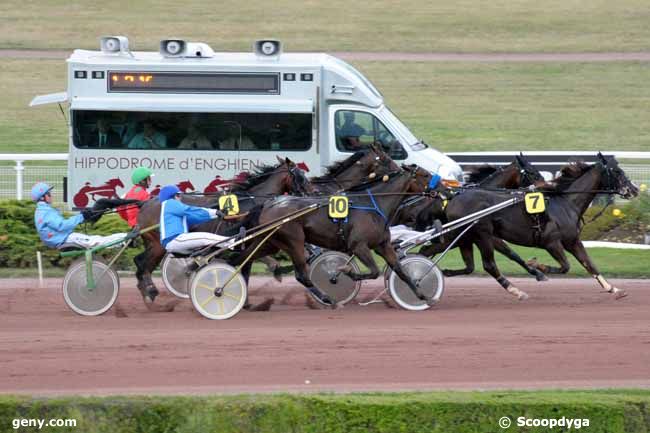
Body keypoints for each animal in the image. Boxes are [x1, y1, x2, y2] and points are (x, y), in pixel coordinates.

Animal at [238, 164, 430, 306]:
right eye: (426, 175)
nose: (440, 188)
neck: (373, 204)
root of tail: (267, 205)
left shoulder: (382, 245)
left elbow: (401, 270)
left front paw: (423, 295)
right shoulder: (358, 246)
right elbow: (374, 271)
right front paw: (346, 271)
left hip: (270, 242)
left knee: (243, 260)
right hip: (294, 241)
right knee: (302, 276)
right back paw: (327, 298)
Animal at [442, 154, 636, 298]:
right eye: (618, 171)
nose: (634, 189)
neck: (566, 203)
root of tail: (453, 200)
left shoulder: (572, 241)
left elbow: (589, 264)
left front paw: (613, 289)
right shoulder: (551, 242)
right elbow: (565, 267)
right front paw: (537, 266)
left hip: (468, 236)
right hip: (482, 234)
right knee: (489, 265)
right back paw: (516, 291)